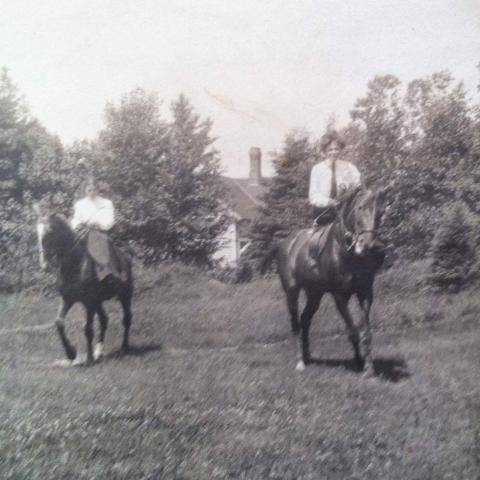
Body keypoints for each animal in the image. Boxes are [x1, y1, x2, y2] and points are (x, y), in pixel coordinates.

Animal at [35, 207, 133, 368]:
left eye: (50, 231)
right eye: (37, 232)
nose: (44, 264)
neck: (76, 264)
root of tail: (126, 257)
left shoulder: (89, 302)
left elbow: (87, 329)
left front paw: (88, 359)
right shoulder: (68, 299)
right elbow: (59, 322)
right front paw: (71, 353)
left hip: (125, 295)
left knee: (127, 319)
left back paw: (124, 348)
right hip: (99, 302)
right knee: (104, 320)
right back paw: (99, 352)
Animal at [266, 188, 386, 378]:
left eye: (380, 212)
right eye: (360, 208)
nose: (369, 245)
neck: (349, 254)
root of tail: (284, 244)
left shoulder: (366, 293)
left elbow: (365, 332)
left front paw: (369, 368)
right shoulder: (339, 296)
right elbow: (352, 330)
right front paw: (359, 363)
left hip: (314, 293)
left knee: (305, 319)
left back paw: (308, 356)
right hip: (292, 292)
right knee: (295, 324)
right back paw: (300, 361)